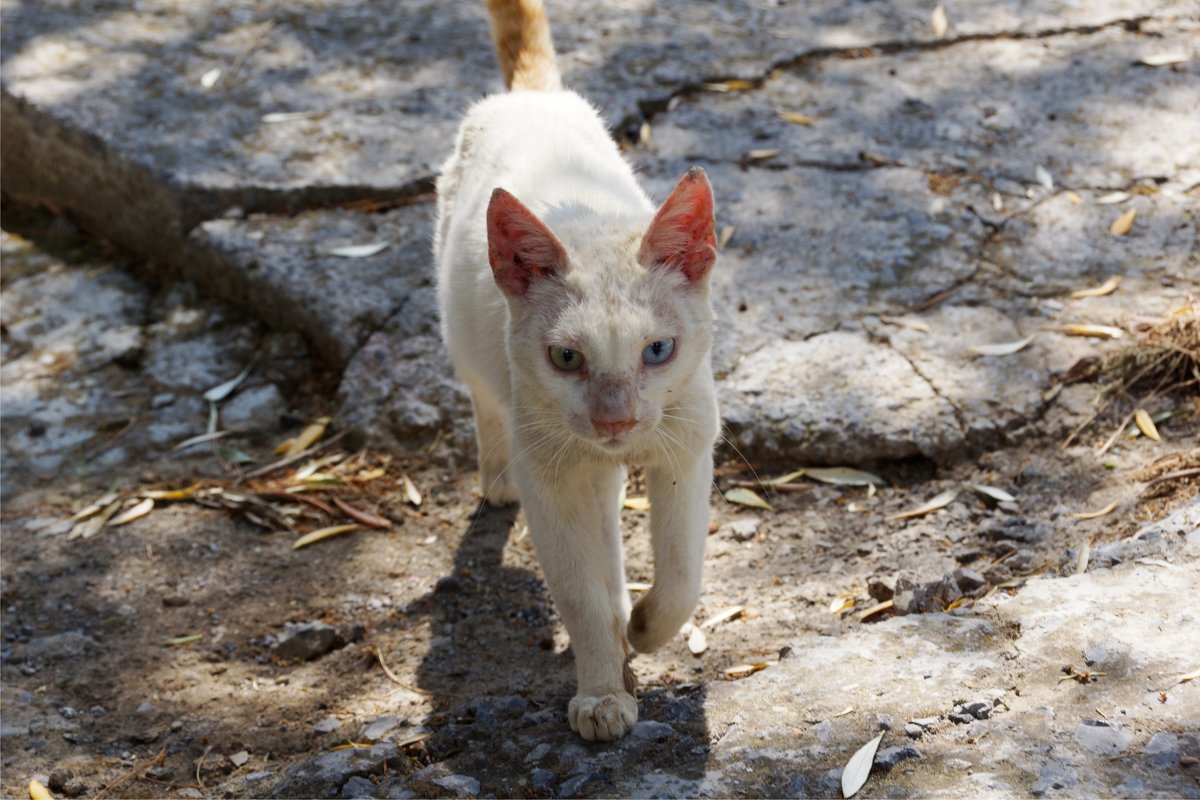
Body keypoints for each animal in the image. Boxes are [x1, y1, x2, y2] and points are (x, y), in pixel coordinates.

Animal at [441, 0, 720, 743]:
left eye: (658, 351)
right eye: (566, 357)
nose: (615, 419)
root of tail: (528, 98)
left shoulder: (686, 448)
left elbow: (682, 574)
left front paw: (648, 629)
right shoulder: (552, 481)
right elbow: (581, 597)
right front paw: (600, 692)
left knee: (611, 521)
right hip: (470, 351)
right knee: (486, 406)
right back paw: (498, 478)